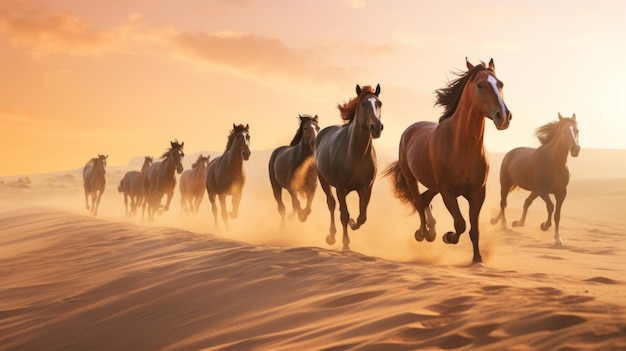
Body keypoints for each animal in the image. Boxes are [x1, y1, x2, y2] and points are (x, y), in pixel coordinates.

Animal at [312, 84, 380, 250]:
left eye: (379, 103)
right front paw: (346, 245)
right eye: (363, 104)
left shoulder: (366, 188)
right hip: (324, 181)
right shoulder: (341, 189)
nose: (377, 127)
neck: (356, 155)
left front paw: (353, 223)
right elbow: (344, 214)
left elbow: (362, 217)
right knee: (331, 204)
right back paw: (331, 237)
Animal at [380, 59, 512, 266]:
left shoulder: (477, 193)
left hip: (434, 185)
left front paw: (477, 259)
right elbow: (460, 224)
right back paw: (424, 234)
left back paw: (432, 230)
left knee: (425, 199)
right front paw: (448, 237)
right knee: (418, 202)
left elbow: (474, 229)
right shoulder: (448, 191)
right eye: (480, 85)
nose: (504, 117)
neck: (462, 148)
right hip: (412, 179)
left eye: (500, 84)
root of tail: (411, 129)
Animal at [490, 113, 576, 245]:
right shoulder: (543, 190)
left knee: (525, 202)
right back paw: (504, 224)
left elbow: (557, 215)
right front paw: (544, 225)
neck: (554, 162)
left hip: (533, 190)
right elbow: (551, 206)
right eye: (564, 131)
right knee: (503, 203)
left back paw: (515, 222)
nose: (576, 149)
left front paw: (558, 239)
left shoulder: (561, 193)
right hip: (505, 184)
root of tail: (510, 153)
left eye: (577, 130)